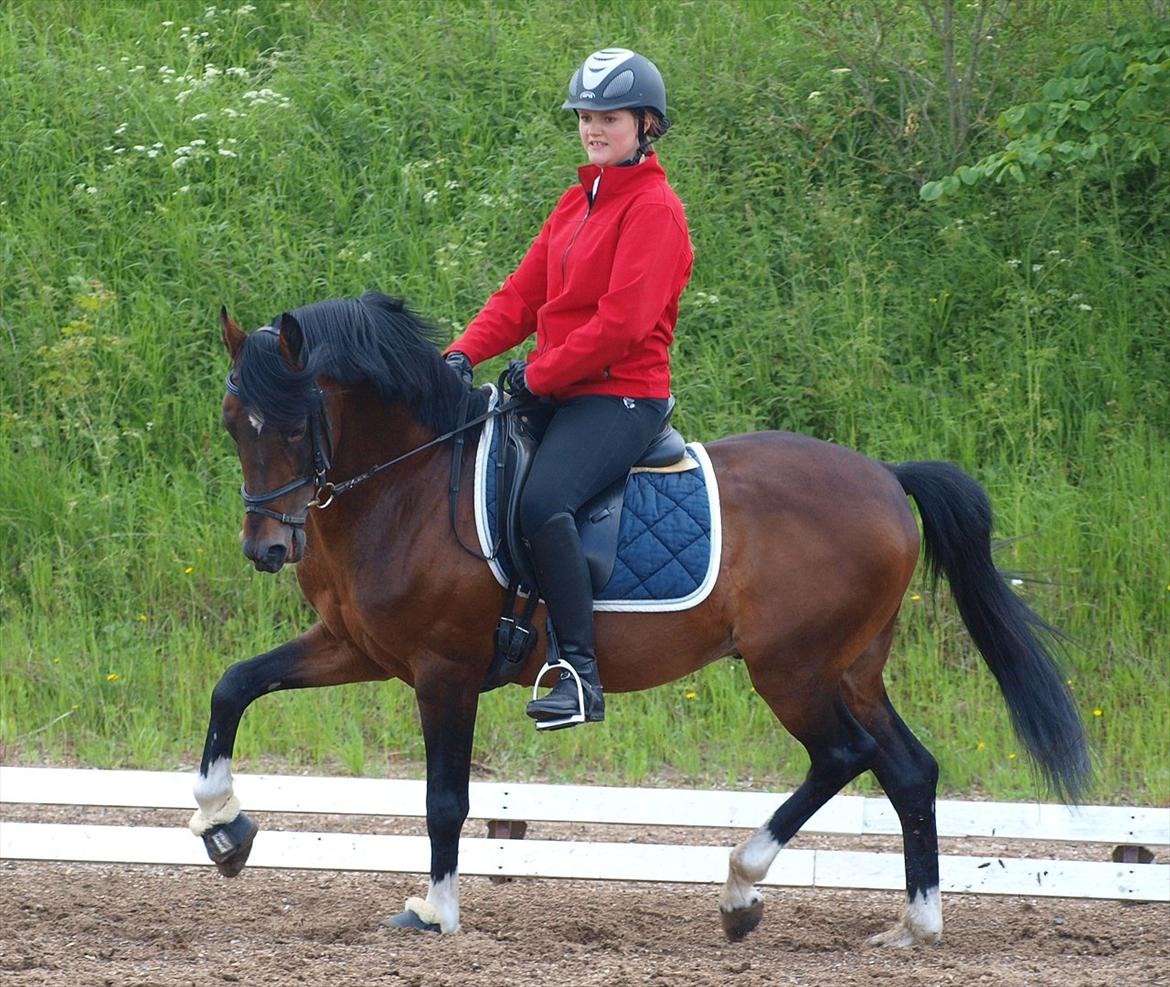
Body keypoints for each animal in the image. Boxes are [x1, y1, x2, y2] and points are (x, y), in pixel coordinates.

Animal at [193, 290, 1089, 946]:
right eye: (234, 424)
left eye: (298, 423)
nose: (268, 547)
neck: (406, 484)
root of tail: (885, 476)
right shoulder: (357, 645)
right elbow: (234, 685)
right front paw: (224, 828)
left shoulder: (445, 670)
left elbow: (443, 796)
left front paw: (434, 911)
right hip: (853, 666)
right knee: (909, 770)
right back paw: (915, 926)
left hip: (791, 668)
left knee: (842, 755)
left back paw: (740, 890)